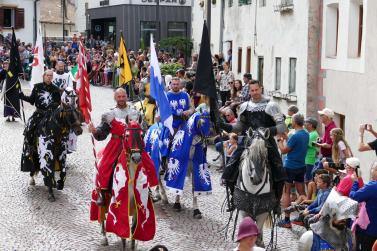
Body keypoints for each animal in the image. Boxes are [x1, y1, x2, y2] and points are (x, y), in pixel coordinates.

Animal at [92, 118, 159, 250]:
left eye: (142, 135)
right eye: (127, 135)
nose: (136, 157)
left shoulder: (139, 207)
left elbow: (133, 230)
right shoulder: (121, 206)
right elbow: (122, 234)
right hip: (101, 193)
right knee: (101, 215)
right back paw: (104, 237)